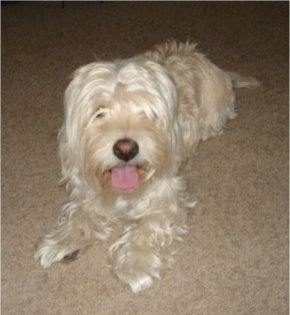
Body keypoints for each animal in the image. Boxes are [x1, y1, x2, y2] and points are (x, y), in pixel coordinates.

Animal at [34, 40, 258, 292]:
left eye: (146, 110)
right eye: (100, 112)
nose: (126, 150)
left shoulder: (165, 195)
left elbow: (148, 228)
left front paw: (135, 264)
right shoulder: (86, 187)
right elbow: (79, 214)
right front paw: (61, 242)